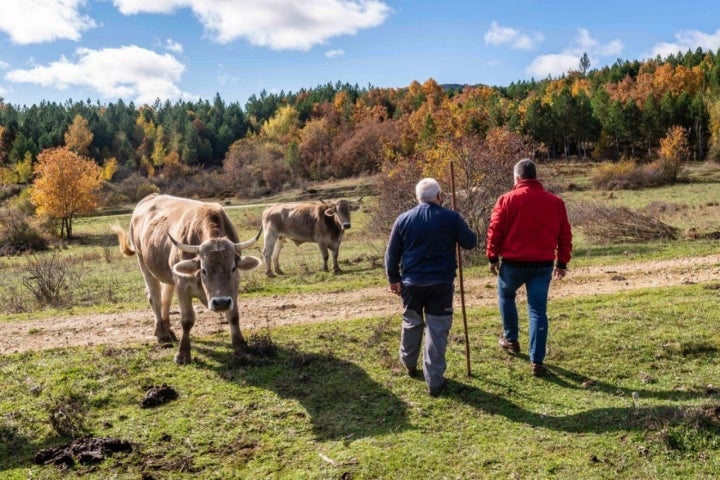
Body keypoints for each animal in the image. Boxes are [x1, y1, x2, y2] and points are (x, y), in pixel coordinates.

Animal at [115, 194, 264, 364]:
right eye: (204, 270)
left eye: (233, 268)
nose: (221, 303)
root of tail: (149, 197)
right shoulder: (183, 286)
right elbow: (187, 320)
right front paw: (183, 353)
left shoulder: (233, 288)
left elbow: (233, 316)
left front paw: (240, 347)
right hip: (145, 265)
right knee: (155, 298)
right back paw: (162, 334)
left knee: (166, 298)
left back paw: (168, 329)